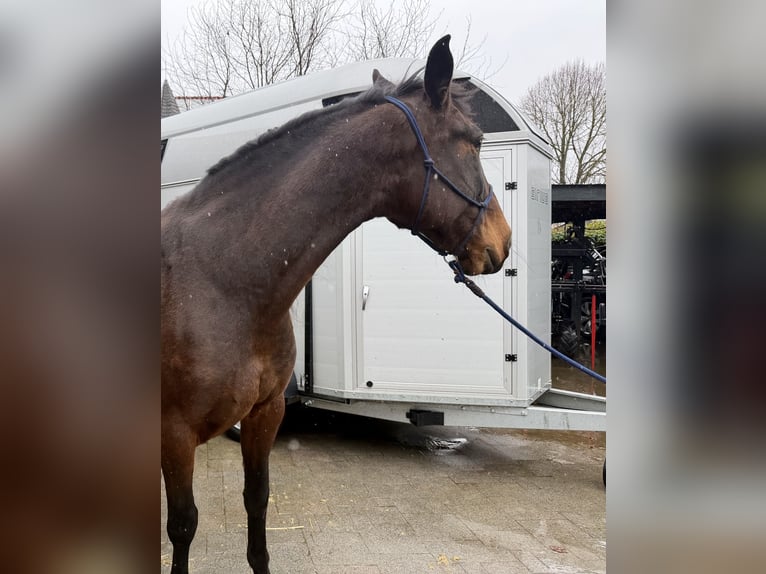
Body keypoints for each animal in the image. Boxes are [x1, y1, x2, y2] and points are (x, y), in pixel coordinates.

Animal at [161, 35, 511, 574]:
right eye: (473, 140)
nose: (503, 241)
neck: (222, 279)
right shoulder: (174, 434)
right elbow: (182, 525)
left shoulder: (265, 415)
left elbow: (257, 501)